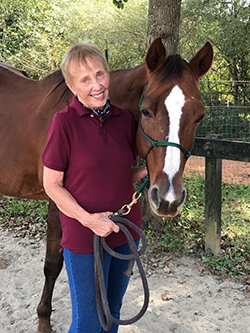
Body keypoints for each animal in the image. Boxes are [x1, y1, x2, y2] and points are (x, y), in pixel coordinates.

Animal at [0, 37, 213, 330]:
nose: (168, 198)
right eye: (146, 111)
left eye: (199, 116)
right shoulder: (58, 203)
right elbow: (53, 264)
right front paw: (43, 321)